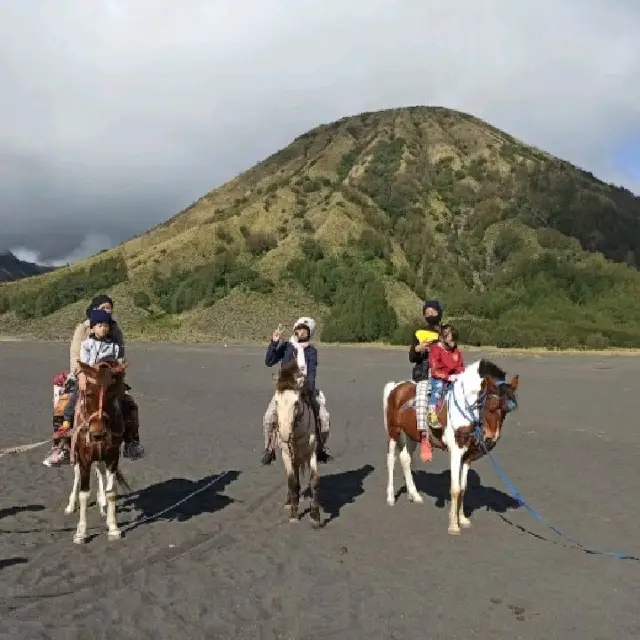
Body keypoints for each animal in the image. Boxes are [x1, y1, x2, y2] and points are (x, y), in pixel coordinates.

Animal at [63, 360, 131, 544]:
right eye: (88, 394)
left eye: (112, 394)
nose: (97, 433)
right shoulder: (84, 457)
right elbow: (84, 494)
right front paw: (81, 532)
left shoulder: (112, 457)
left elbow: (111, 492)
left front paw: (113, 527)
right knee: (77, 476)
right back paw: (70, 505)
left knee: (100, 472)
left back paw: (102, 504)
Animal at [272, 362, 322, 528]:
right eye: (276, 402)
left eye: (296, 402)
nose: (284, 433)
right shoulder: (287, 454)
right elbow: (292, 482)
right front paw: (294, 514)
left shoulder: (311, 453)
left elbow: (314, 480)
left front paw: (315, 516)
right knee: (292, 481)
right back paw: (290, 501)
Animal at [382, 360, 516, 536]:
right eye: (491, 406)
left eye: (507, 411)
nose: (491, 438)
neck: (464, 409)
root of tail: (395, 386)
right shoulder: (456, 452)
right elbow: (455, 488)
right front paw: (453, 525)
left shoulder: (468, 456)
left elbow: (463, 488)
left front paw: (463, 519)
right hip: (394, 431)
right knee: (391, 460)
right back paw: (390, 498)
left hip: (411, 435)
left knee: (405, 459)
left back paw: (415, 495)